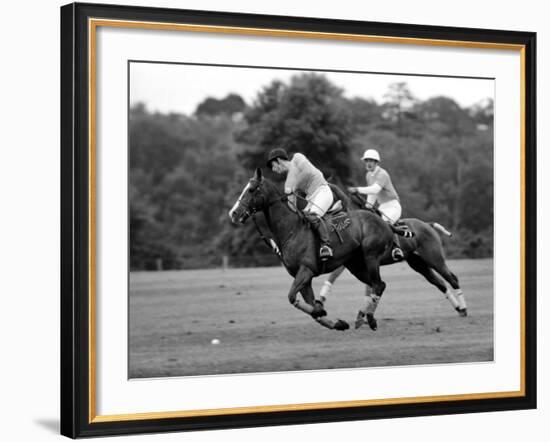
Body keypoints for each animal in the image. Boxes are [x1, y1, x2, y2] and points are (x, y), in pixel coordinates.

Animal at [230, 167, 396, 330]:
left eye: (251, 189)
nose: (234, 213)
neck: (291, 230)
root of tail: (384, 222)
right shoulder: (303, 277)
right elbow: (311, 309)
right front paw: (336, 323)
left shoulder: (306, 270)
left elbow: (292, 297)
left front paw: (321, 310)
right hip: (356, 265)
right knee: (378, 285)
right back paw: (364, 317)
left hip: (371, 257)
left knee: (378, 285)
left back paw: (370, 319)